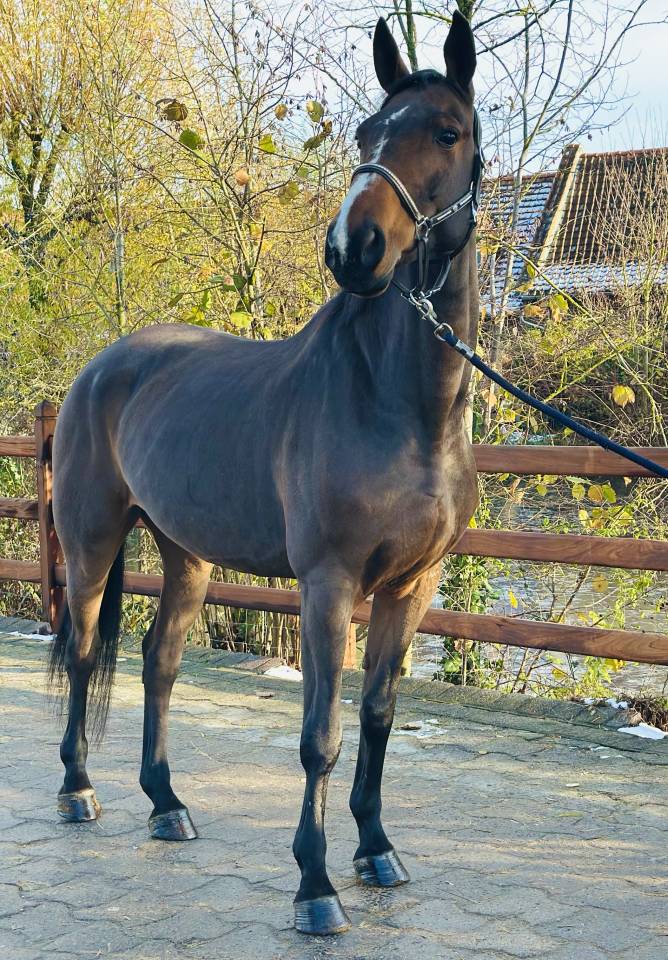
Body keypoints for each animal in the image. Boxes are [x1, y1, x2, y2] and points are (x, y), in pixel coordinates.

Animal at [48, 11, 481, 936]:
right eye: (365, 132)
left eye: (446, 132)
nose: (354, 248)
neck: (401, 407)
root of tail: (101, 368)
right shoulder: (328, 584)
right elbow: (320, 737)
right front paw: (315, 887)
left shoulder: (410, 587)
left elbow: (378, 715)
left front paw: (375, 850)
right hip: (93, 540)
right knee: (82, 651)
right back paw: (79, 790)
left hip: (186, 554)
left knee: (159, 661)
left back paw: (167, 803)